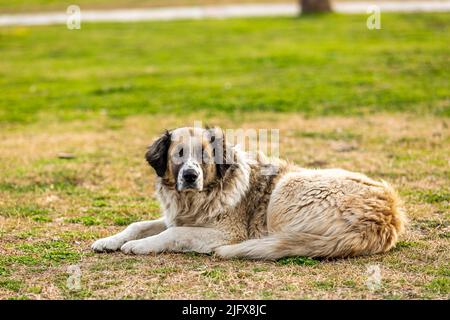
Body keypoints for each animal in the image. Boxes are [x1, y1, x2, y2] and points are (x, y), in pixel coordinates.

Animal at [90, 126, 404, 258]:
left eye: (204, 156)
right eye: (178, 154)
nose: (190, 176)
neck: (197, 198)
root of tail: (387, 215)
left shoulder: (226, 233)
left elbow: (172, 233)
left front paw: (139, 246)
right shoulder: (177, 217)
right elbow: (138, 225)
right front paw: (109, 241)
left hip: (286, 189)